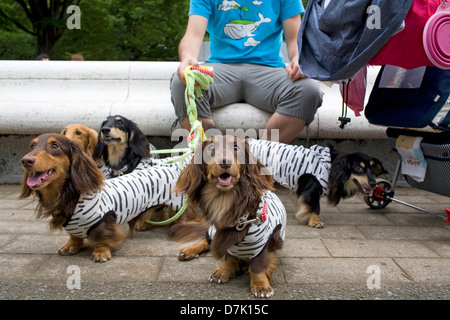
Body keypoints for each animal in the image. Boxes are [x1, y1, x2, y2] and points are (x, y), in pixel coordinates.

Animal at [17, 134, 183, 262]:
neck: (71, 196)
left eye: (55, 146)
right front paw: (71, 245)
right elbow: (74, 235)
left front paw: (101, 252)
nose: (25, 161)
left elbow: (101, 238)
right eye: (32, 146)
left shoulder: (103, 221)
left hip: (176, 202)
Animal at [167, 134, 286, 298]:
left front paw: (260, 285)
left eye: (236, 147)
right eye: (211, 148)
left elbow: (257, 265)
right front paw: (224, 271)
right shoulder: (224, 239)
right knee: (206, 241)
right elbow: (228, 256)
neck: (224, 201)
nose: (225, 162)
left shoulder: (263, 243)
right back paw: (189, 251)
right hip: (212, 231)